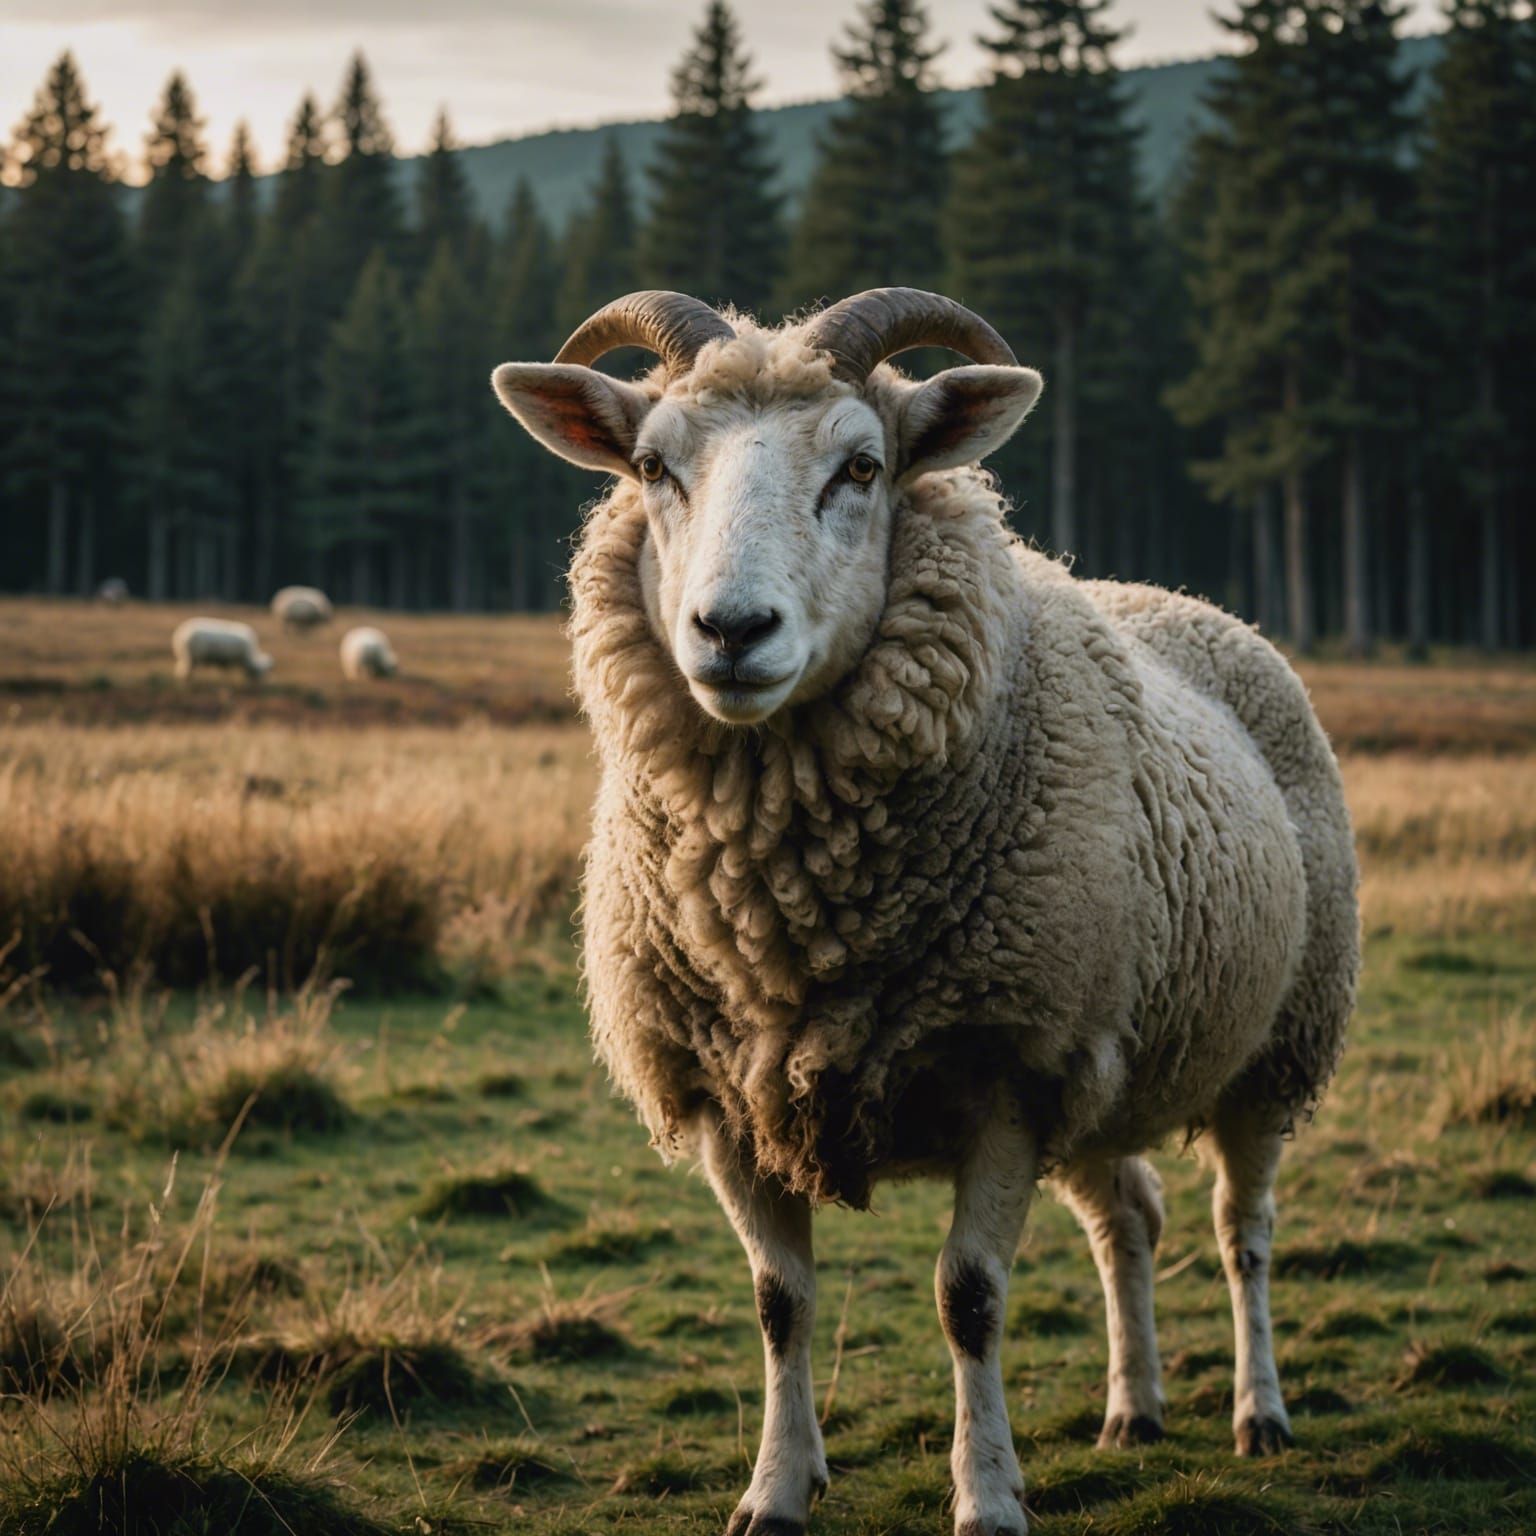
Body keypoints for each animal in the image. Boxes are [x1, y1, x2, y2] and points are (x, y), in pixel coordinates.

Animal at [490, 288, 1360, 1536]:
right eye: (653, 467)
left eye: (861, 466)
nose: (730, 630)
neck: (790, 925)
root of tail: (1179, 599)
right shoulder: (730, 1092)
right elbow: (779, 1302)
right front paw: (777, 1488)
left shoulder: (1005, 1069)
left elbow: (971, 1299)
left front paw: (986, 1495)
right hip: (1102, 1053)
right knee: (1129, 1219)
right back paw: (1133, 1408)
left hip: (1271, 1047)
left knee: (1241, 1234)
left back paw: (1260, 1413)